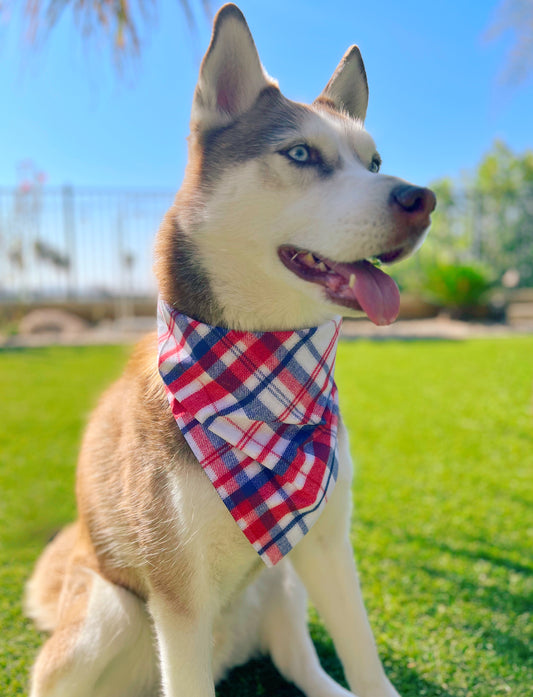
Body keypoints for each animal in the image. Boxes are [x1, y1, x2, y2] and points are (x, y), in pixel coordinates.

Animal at [25, 5, 434, 696]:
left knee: (302, 663)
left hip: (282, 580)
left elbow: (365, 659)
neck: (261, 378)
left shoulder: (327, 543)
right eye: (301, 153)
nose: (423, 200)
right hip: (107, 617)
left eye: (375, 163)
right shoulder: (177, 594)